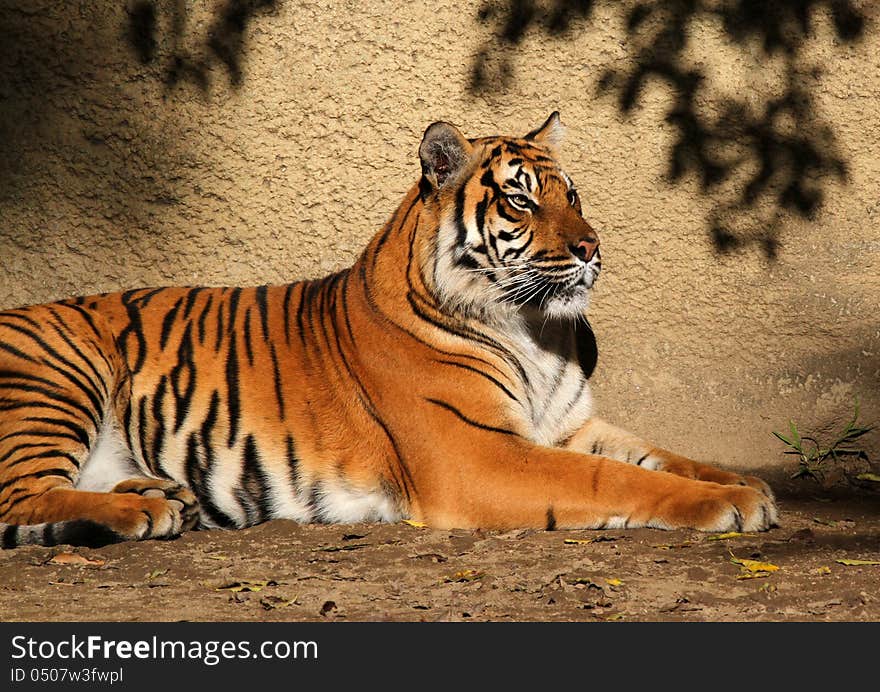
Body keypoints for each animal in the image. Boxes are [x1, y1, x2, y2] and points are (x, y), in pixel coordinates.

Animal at [0, 113, 776, 548]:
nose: (591, 247)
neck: (536, 331)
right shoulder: (477, 453)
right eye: (522, 200)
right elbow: (613, 478)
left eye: (572, 194)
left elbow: (664, 456)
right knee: (17, 496)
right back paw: (143, 515)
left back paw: (159, 497)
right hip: (57, 377)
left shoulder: (568, 425)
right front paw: (732, 503)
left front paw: (743, 482)